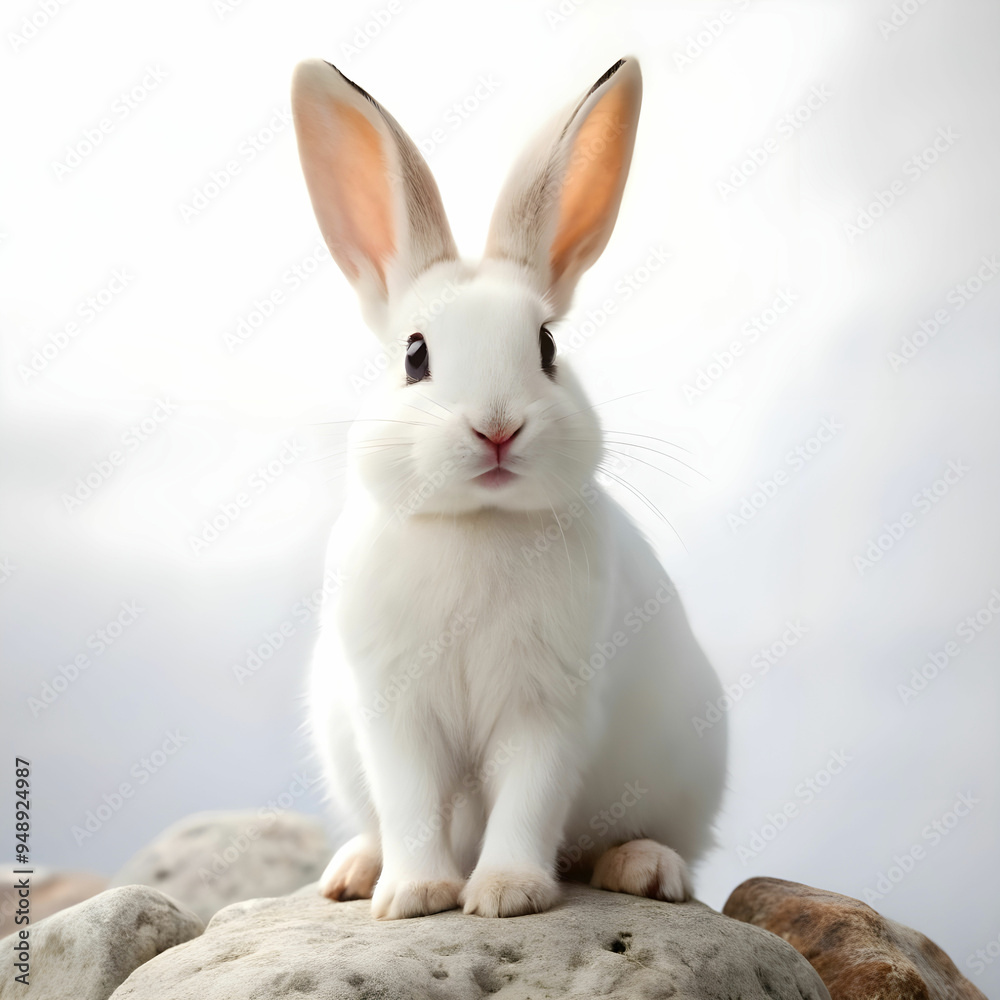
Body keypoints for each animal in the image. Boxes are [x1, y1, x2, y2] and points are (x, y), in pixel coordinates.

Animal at [291, 54, 728, 920]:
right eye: (415, 354)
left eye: (547, 346)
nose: (497, 427)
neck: (477, 522)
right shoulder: (393, 708)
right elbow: (411, 802)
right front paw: (416, 895)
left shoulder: (547, 707)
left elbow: (527, 799)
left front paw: (505, 895)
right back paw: (354, 873)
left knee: (654, 842)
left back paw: (644, 869)